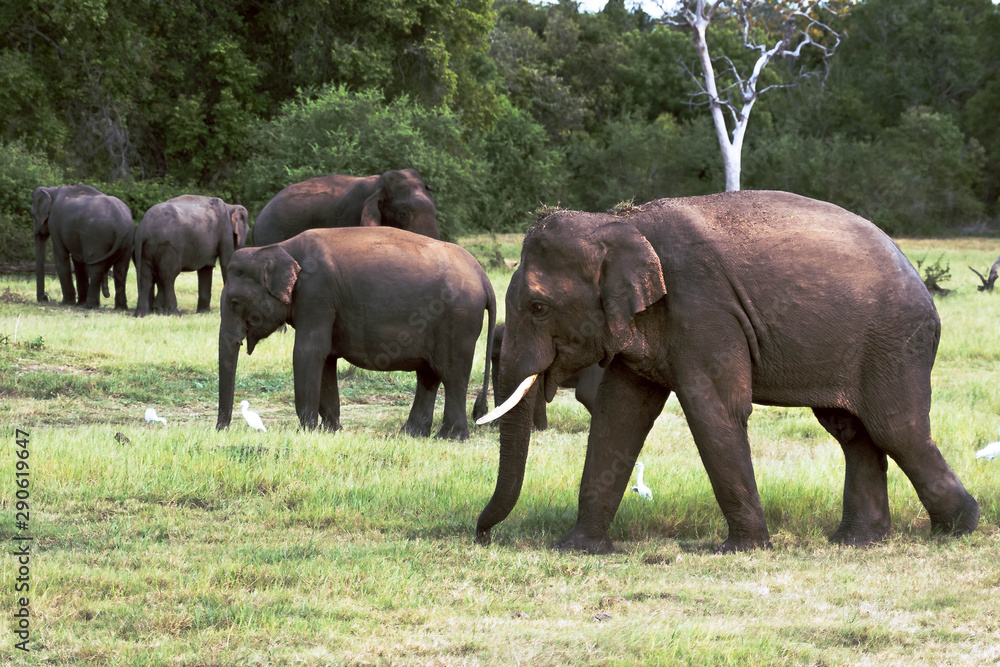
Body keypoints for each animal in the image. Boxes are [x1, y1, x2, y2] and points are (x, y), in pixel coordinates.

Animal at [216, 227, 495, 439]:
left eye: (234, 302)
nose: (221, 429)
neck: (281, 247)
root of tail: (483, 275)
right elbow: (326, 359)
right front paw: (330, 431)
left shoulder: (316, 294)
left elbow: (309, 352)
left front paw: (306, 431)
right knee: (428, 375)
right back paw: (412, 434)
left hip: (458, 321)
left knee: (452, 374)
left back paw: (450, 437)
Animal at [476, 190, 979, 554]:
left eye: (538, 308)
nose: (483, 535)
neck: (622, 223)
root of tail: (916, 277)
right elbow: (619, 417)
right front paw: (577, 548)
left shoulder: (703, 309)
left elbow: (714, 410)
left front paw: (740, 550)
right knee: (852, 431)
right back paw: (858, 541)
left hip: (895, 343)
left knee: (897, 429)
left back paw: (960, 528)